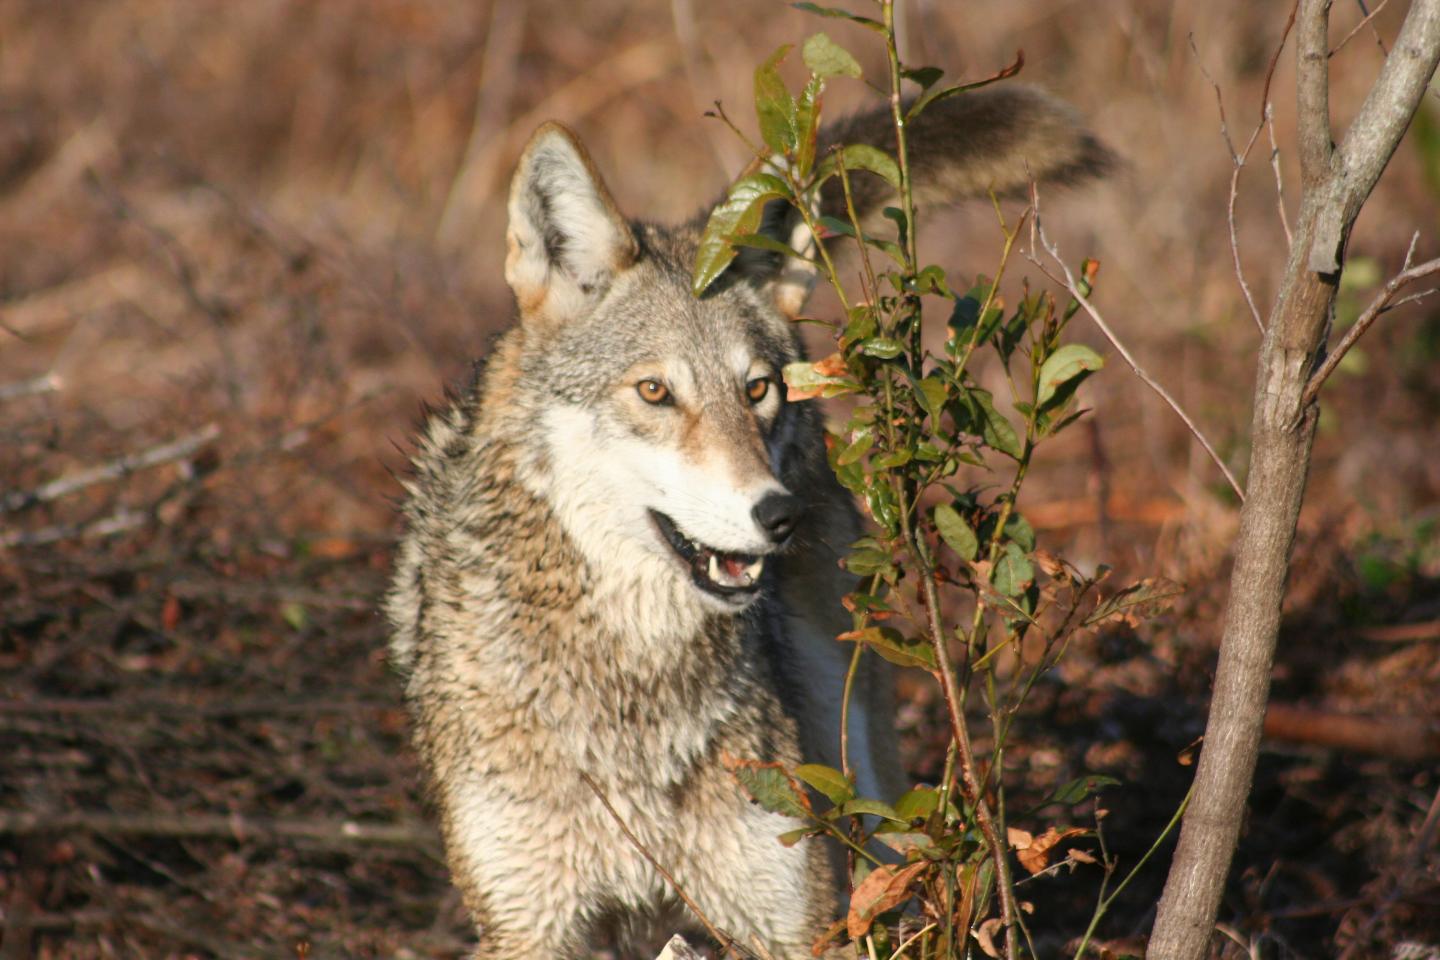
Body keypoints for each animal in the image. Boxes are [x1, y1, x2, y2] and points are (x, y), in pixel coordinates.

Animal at [386, 84, 1111, 959]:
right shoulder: (531, 928)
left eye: (757, 389)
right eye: (655, 392)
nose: (779, 514)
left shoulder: (793, 914)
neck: (633, 689)